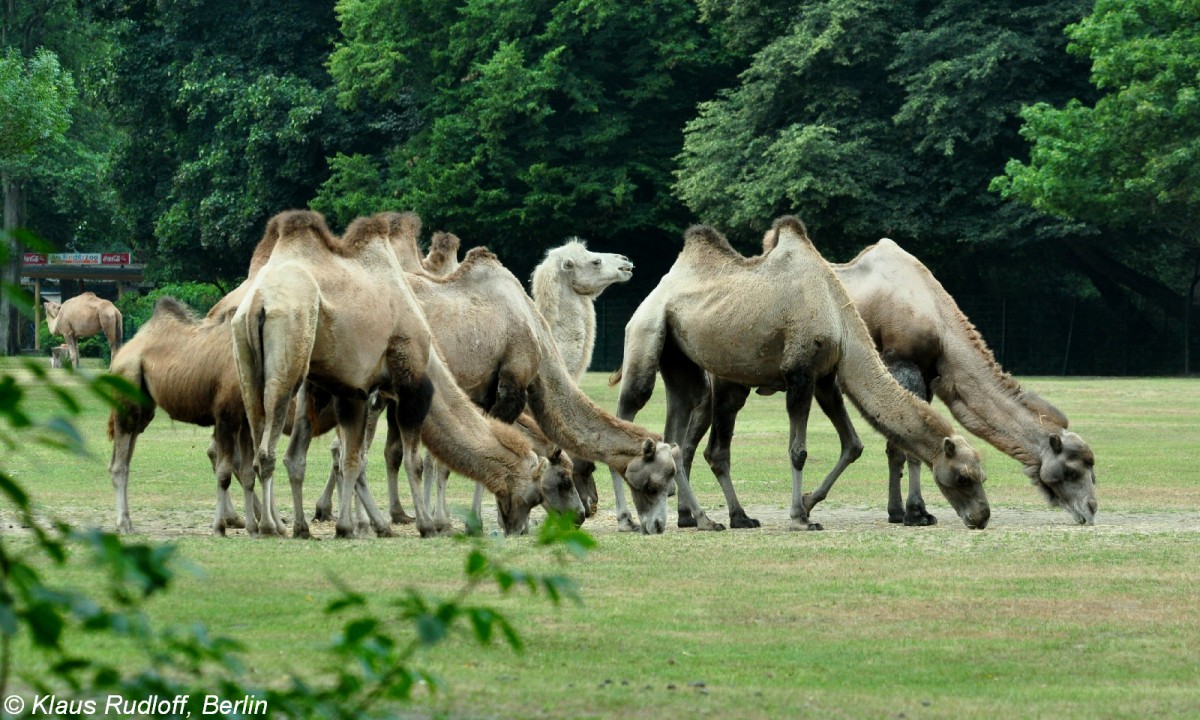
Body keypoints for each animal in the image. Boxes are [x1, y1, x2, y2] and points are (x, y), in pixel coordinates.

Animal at [231, 211, 583, 537]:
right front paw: (428, 524)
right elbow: (413, 461)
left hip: (251, 370)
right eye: (562, 481)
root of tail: (258, 301)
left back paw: (285, 525)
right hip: (288, 360)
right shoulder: (411, 387)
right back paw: (269, 526)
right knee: (267, 448)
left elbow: (352, 459)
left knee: (271, 446)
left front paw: (351, 526)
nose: (581, 514)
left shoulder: (355, 391)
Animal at [614, 216, 988, 530]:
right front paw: (800, 517)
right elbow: (798, 451)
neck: (840, 316)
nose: (982, 516)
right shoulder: (799, 372)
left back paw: (716, 519)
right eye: (963, 477)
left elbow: (852, 443)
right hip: (647, 331)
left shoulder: (825, 378)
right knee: (633, 401)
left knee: (684, 422)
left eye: (983, 475)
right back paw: (631, 519)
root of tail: (658, 290)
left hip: (683, 359)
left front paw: (807, 505)